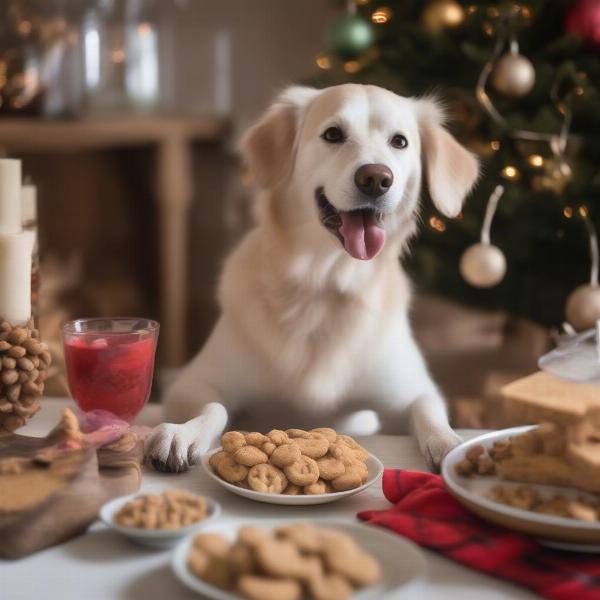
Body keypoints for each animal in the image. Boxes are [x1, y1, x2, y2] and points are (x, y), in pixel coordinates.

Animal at [144, 82, 478, 472]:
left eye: (400, 141)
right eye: (333, 134)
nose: (376, 179)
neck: (325, 284)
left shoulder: (410, 393)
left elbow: (428, 412)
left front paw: (450, 444)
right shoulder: (193, 383)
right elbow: (214, 407)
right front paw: (184, 432)